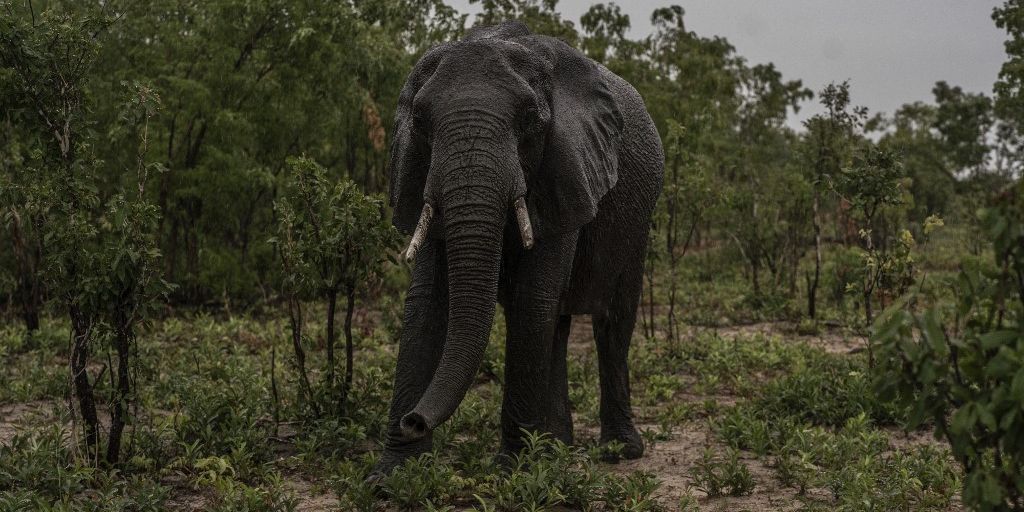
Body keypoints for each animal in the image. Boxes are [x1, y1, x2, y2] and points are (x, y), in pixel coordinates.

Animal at [368, 18, 663, 477]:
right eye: (419, 120)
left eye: (529, 119)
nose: (414, 420)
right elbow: (426, 301)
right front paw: (391, 477)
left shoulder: (565, 167)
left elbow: (531, 297)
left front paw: (511, 472)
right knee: (558, 323)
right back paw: (557, 446)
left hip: (639, 221)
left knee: (611, 321)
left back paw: (617, 451)